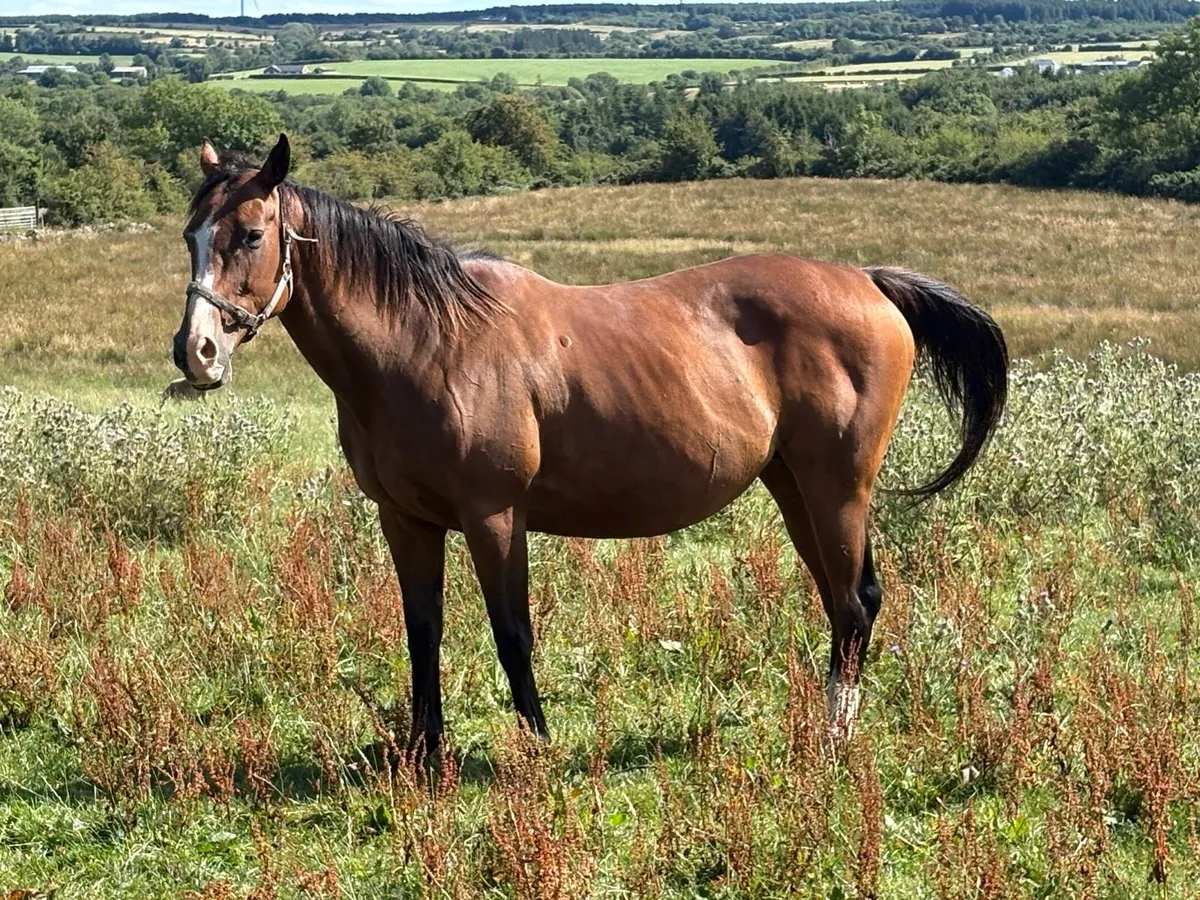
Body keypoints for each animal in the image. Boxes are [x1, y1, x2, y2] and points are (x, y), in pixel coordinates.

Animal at [174, 134, 1008, 751]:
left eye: (251, 235)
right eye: (191, 237)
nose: (196, 351)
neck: (427, 342)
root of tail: (867, 282)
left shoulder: (494, 516)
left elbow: (512, 634)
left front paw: (538, 748)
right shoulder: (405, 520)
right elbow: (422, 632)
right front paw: (424, 752)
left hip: (839, 488)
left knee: (858, 600)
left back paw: (835, 739)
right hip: (794, 486)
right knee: (843, 600)